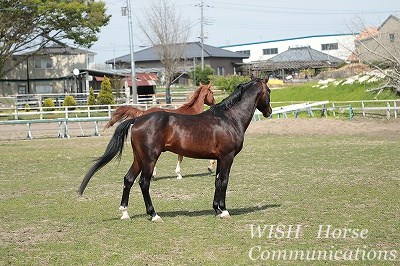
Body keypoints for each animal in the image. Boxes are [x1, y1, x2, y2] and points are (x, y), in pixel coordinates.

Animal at [78, 77, 272, 222]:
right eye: (269, 91)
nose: (269, 112)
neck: (229, 117)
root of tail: (138, 119)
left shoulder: (219, 158)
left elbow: (217, 181)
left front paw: (216, 209)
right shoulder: (227, 157)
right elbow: (224, 181)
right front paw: (224, 211)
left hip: (139, 158)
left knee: (128, 180)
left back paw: (125, 213)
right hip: (149, 159)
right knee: (143, 183)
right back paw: (154, 215)